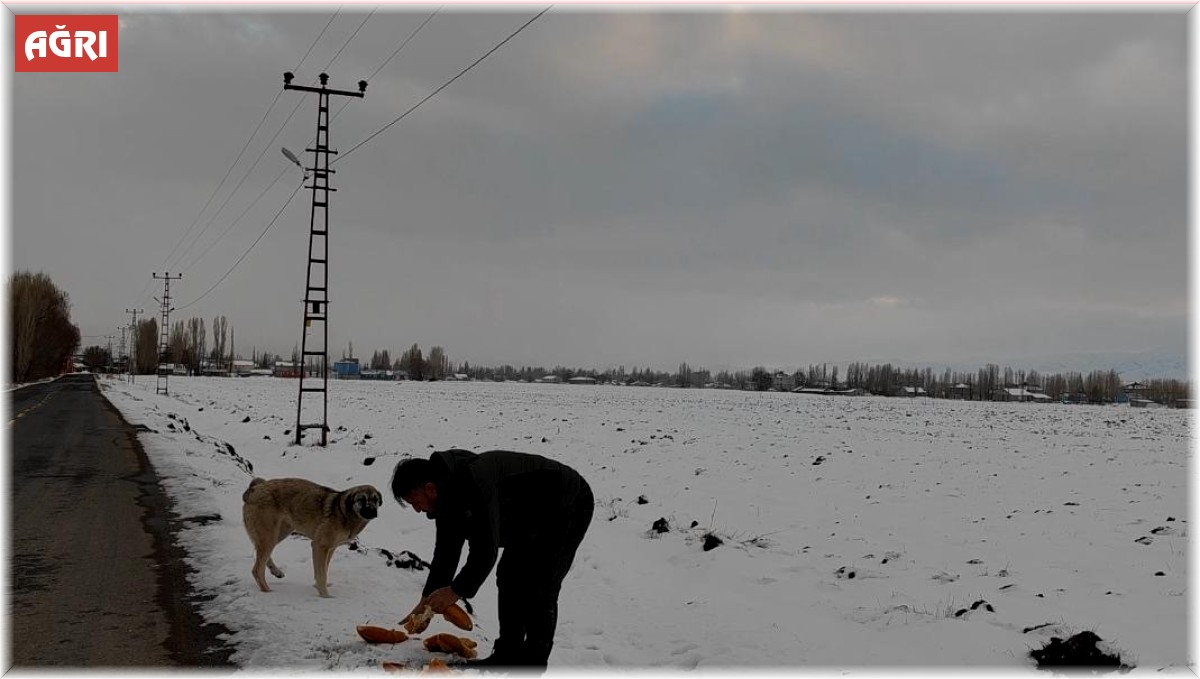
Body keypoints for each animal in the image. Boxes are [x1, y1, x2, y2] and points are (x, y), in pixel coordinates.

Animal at [238, 477, 379, 599]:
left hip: (279, 533)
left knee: (261, 555)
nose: (372, 511)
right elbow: (322, 574)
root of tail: (255, 488)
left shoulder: (329, 549)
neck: (344, 512)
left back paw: (276, 572)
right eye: (361, 499)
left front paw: (320, 587)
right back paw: (267, 591)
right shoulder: (319, 546)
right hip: (270, 536)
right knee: (257, 570)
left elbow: (323, 570)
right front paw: (325, 596)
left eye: (375, 499)